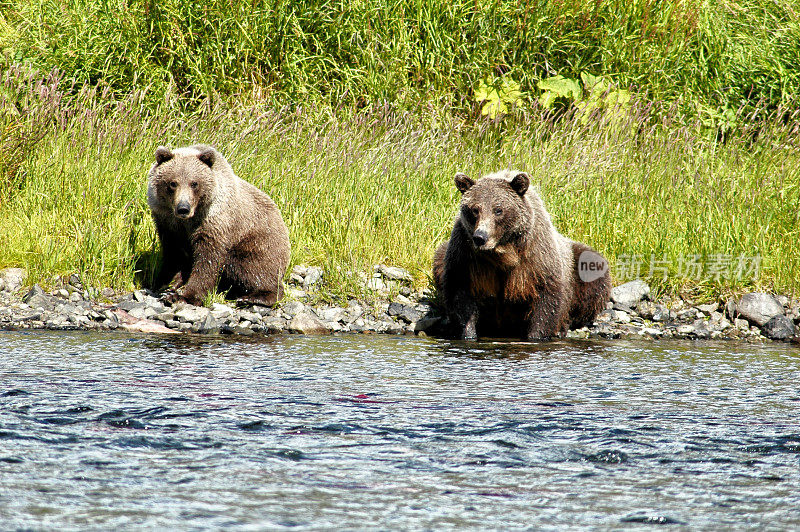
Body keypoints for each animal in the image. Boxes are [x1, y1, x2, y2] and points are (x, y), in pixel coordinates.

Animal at [148, 144, 290, 308]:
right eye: (172, 183)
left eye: (194, 183)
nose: (183, 208)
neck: (189, 219)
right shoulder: (167, 223)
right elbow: (174, 254)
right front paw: (167, 284)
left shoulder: (215, 222)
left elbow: (208, 260)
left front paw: (184, 296)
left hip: (258, 243)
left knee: (252, 269)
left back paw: (252, 297)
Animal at [434, 168, 608, 338]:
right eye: (474, 209)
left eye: (498, 210)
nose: (480, 237)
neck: (503, 252)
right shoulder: (465, 257)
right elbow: (460, 294)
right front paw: (468, 333)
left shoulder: (537, 258)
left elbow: (547, 299)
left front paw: (537, 335)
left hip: (577, 261)